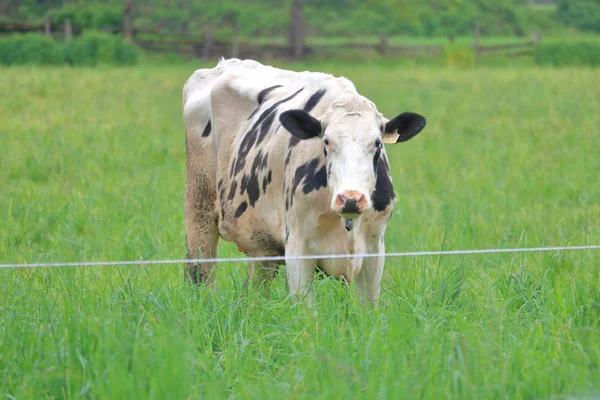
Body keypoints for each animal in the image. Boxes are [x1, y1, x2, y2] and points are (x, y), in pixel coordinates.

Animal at [183, 58, 426, 304]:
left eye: (377, 142)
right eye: (326, 141)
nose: (350, 199)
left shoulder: (374, 251)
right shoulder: (297, 249)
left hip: (261, 243)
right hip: (199, 209)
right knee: (200, 274)